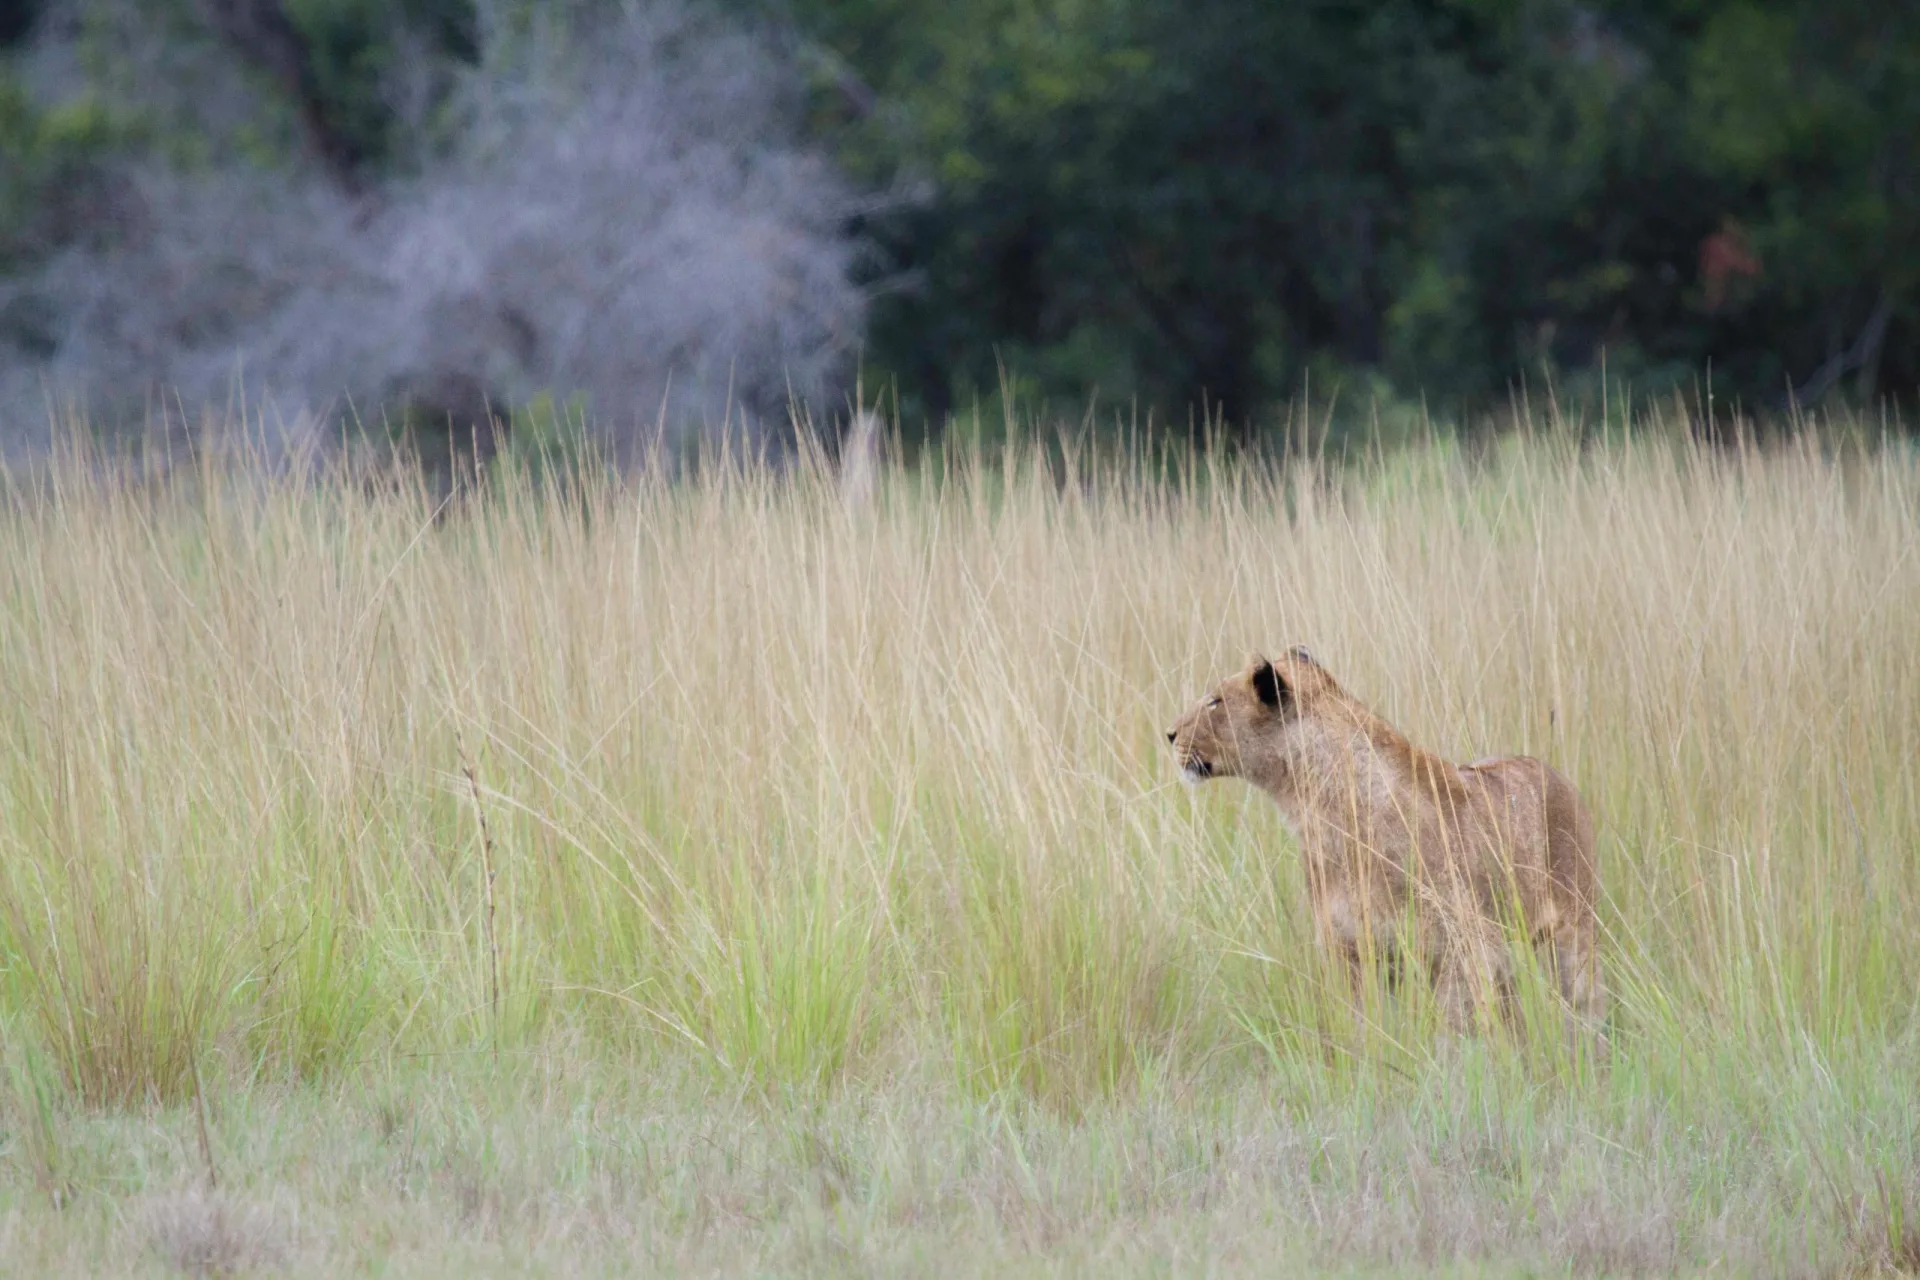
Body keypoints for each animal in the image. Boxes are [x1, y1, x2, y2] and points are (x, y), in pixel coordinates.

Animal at [1167, 649, 1605, 1042]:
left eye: (1215, 700)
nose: (1170, 734)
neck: (1321, 812)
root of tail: (1552, 772)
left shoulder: (1467, 948)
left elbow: (1458, 1037)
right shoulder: (1347, 952)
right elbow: (1360, 1033)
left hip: (1573, 933)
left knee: (1584, 1007)